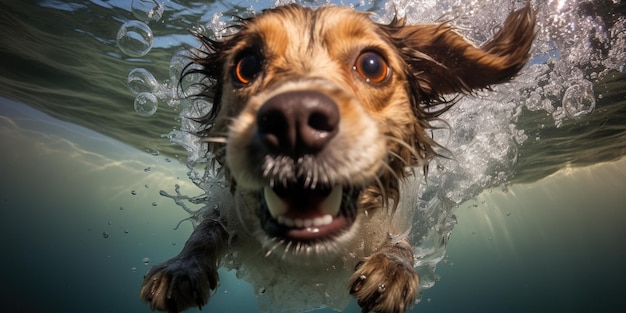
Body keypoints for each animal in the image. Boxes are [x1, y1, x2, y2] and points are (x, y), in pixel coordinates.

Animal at [140, 3, 532, 312]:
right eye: (247, 65)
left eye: (372, 65)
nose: (294, 120)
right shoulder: (229, 212)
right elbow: (206, 231)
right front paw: (180, 269)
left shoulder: (398, 221)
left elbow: (400, 245)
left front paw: (393, 270)